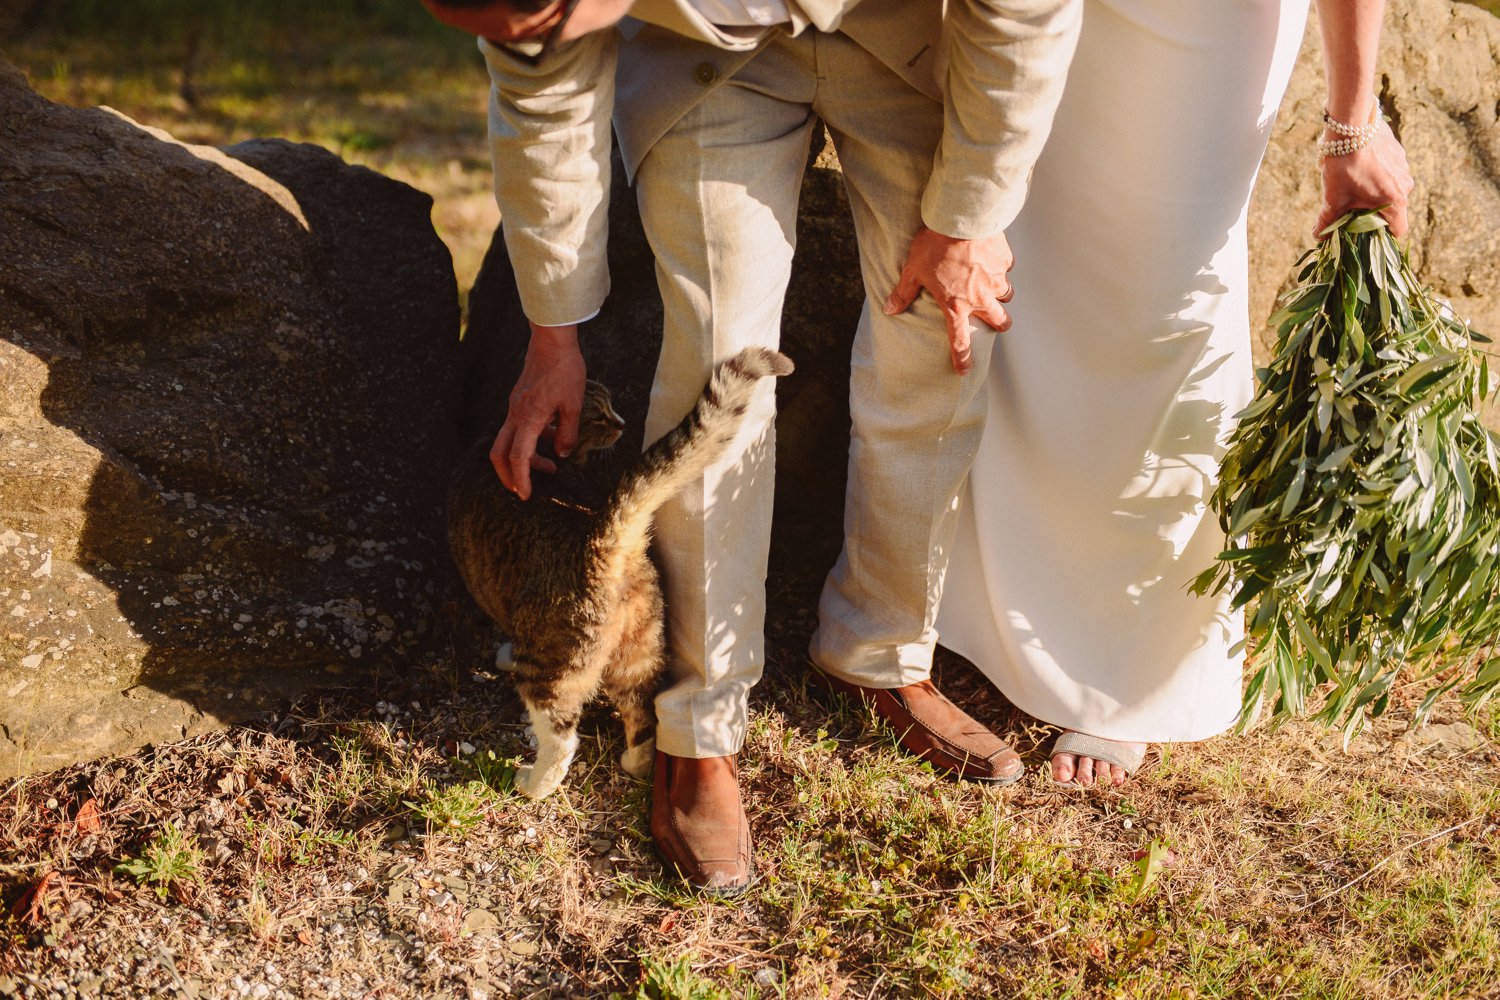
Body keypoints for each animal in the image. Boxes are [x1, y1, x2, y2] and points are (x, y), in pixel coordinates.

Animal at [444, 347, 798, 803]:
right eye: (601, 413)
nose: (623, 423)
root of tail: (602, 537)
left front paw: (504, 653)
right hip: (639, 648)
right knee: (644, 713)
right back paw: (636, 763)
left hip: (550, 666)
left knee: (562, 737)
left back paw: (534, 784)